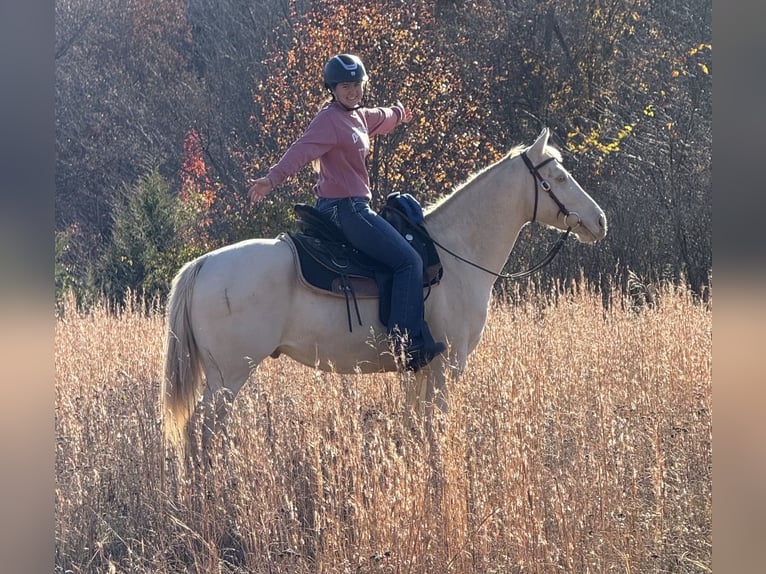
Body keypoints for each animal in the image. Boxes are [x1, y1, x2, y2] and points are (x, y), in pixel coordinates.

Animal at [161, 127, 607, 452]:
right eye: (558, 177)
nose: (599, 220)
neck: (456, 252)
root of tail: (202, 265)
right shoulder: (449, 365)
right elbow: (437, 427)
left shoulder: (421, 369)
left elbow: (418, 427)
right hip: (229, 374)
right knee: (202, 429)